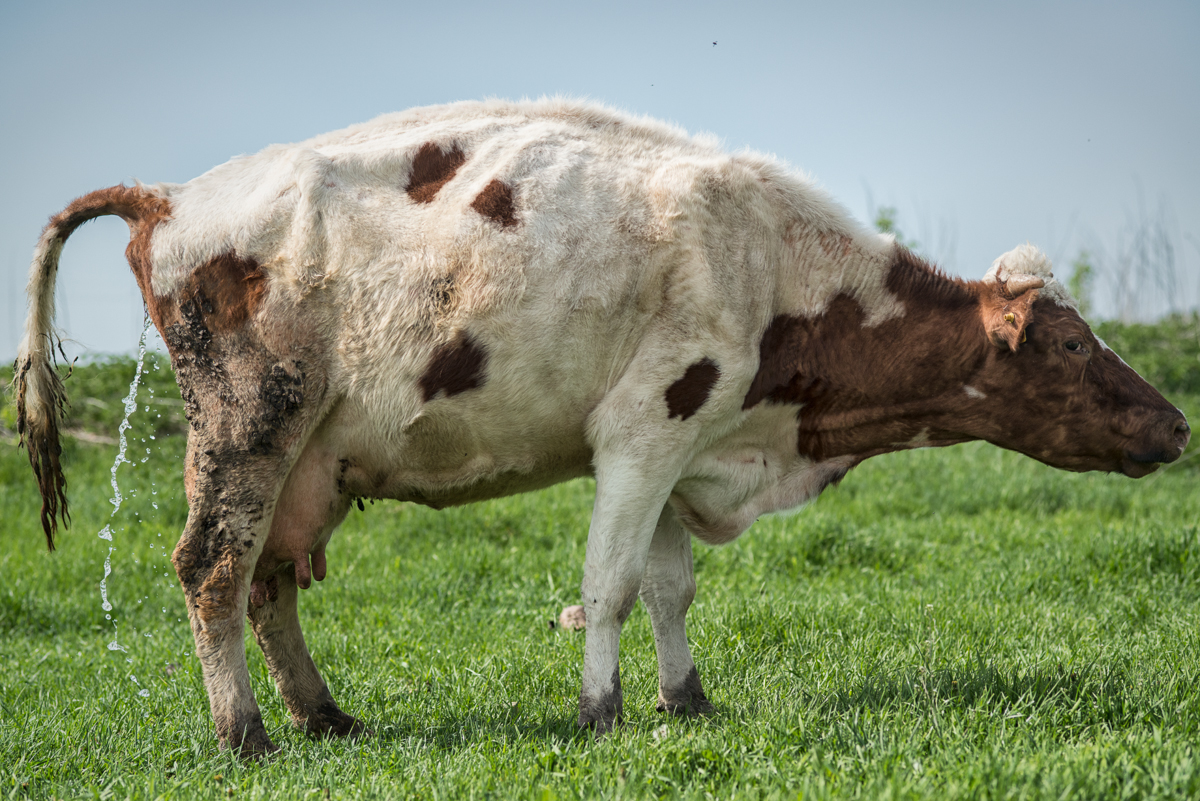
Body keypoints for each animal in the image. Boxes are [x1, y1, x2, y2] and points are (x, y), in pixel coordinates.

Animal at [14, 97, 1185, 753]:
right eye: (1070, 347)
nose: (1176, 425)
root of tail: (171, 196)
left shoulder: (681, 442)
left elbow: (670, 586)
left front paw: (686, 700)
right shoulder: (644, 427)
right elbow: (609, 585)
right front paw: (601, 711)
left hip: (311, 459)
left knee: (267, 580)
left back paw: (325, 716)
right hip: (250, 421)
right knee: (213, 566)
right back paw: (246, 733)